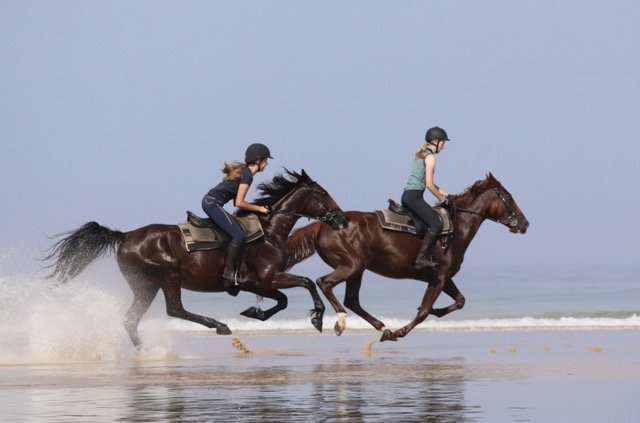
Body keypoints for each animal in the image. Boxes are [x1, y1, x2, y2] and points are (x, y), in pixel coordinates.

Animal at [43, 170, 350, 352]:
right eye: (322, 193)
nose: (343, 218)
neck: (270, 232)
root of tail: (126, 236)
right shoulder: (267, 278)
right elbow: (307, 283)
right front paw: (318, 319)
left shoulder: (257, 284)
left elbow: (283, 300)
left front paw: (255, 313)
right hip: (167, 277)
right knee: (175, 310)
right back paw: (219, 326)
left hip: (145, 286)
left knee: (131, 319)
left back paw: (144, 351)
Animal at [288, 174, 528, 342]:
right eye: (508, 197)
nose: (525, 223)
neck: (456, 227)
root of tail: (323, 223)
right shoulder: (439, 277)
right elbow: (423, 312)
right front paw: (400, 331)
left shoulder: (442, 277)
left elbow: (459, 301)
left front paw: (435, 311)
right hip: (352, 266)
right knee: (324, 283)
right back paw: (341, 321)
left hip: (357, 269)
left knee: (352, 300)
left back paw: (382, 327)